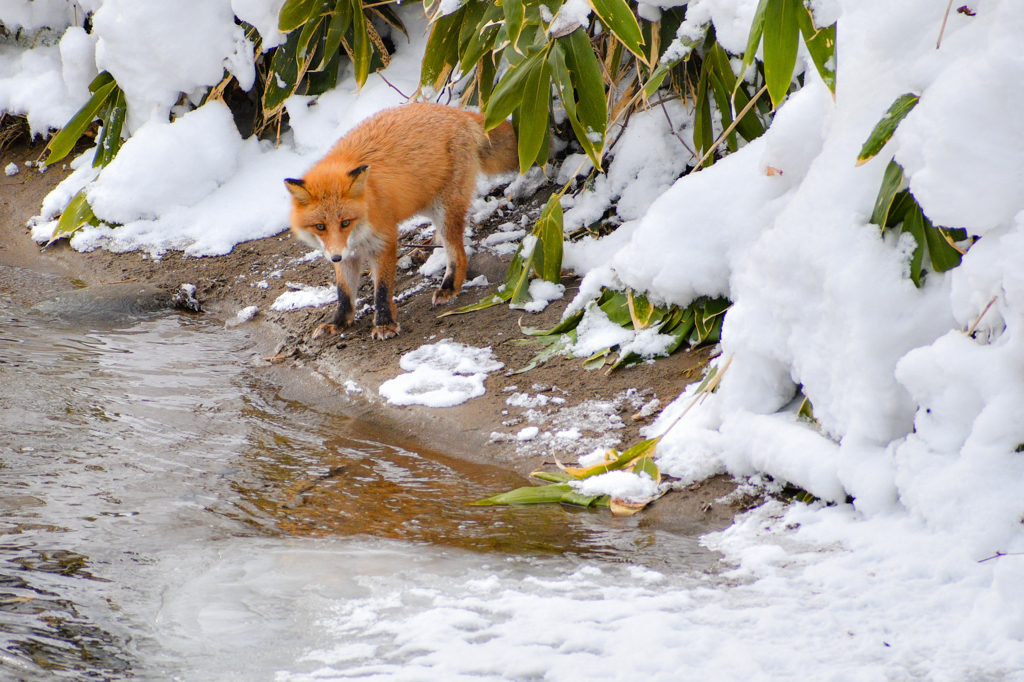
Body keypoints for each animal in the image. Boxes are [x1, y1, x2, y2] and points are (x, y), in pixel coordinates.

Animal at [282, 100, 516, 339]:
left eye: (345, 222)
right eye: (320, 226)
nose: (335, 257)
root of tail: (459, 112)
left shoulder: (383, 240)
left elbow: (382, 290)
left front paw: (384, 323)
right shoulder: (346, 253)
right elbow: (344, 294)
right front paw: (338, 322)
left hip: (444, 210)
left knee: (458, 254)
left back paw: (449, 287)